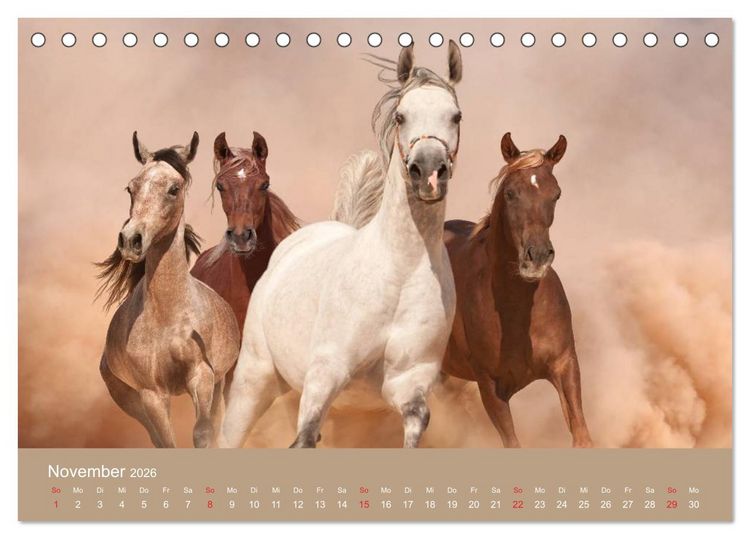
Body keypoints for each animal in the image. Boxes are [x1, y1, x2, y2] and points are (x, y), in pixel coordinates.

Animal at [96, 132, 240, 448]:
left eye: (174, 189)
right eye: (131, 188)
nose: (131, 240)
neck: (169, 318)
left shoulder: (202, 377)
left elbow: (203, 432)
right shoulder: (152, 394)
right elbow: (167, 441)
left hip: (220, 382)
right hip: (127, 398)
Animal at [220, 41, 463, 448]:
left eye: (456, 116)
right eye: (401, 116)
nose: (428, 173)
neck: (399, 271)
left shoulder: (407, 382)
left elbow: (416, 422)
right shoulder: (326, 372)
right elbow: (303, 437)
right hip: (255, 378)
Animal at [442, 132, 593, 448]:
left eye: (556, 194)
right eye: (510, 193)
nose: (537, 256)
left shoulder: (565, 365)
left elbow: (581, 434)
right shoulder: (490, 387)